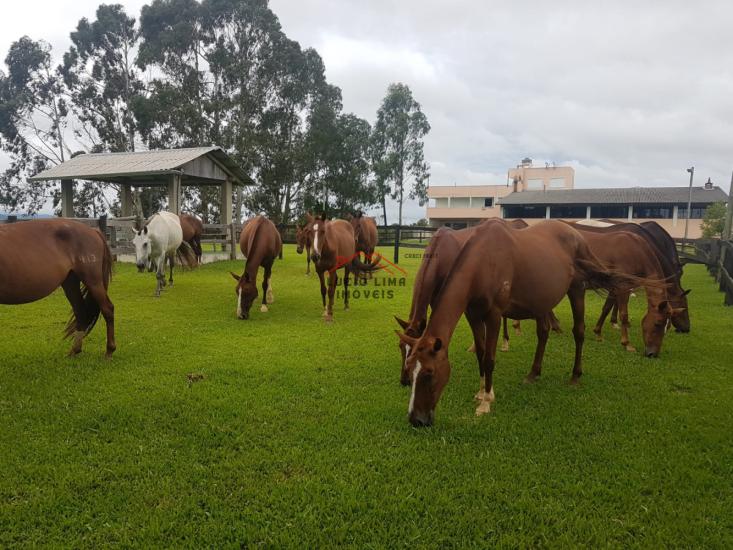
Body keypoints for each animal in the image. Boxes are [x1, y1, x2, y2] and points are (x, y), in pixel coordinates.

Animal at [0, 218, 115, 360]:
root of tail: (94, 231)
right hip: (70, 282)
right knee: (81, 312)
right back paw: (74, 351)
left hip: (93, 281)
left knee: (107, 309)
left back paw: (109, 351)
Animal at [398, 220, 660, 426]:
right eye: (409, 367)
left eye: (429, 373)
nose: (416, 420)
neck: (484, 261)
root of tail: (577, 235)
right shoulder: (473, 314)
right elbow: (480, 353)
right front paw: (480, 392)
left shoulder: (494, 315)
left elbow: (489, 358)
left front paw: (486, 402)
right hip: (542, 299)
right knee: (543, 333)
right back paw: (534, 373)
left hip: (577, 290)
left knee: (579, 332)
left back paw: (575, 375)